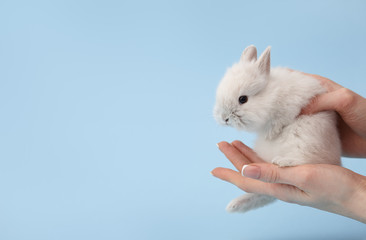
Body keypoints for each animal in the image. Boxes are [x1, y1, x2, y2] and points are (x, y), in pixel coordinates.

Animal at [213, 45, 342, 214]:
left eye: (243, 99)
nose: (224, 118)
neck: (271, 95)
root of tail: (335, 160)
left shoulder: (291, 106)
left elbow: (280, 120)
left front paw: (271, 133)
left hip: (307, 139)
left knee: (309, 159)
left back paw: (283, 161)